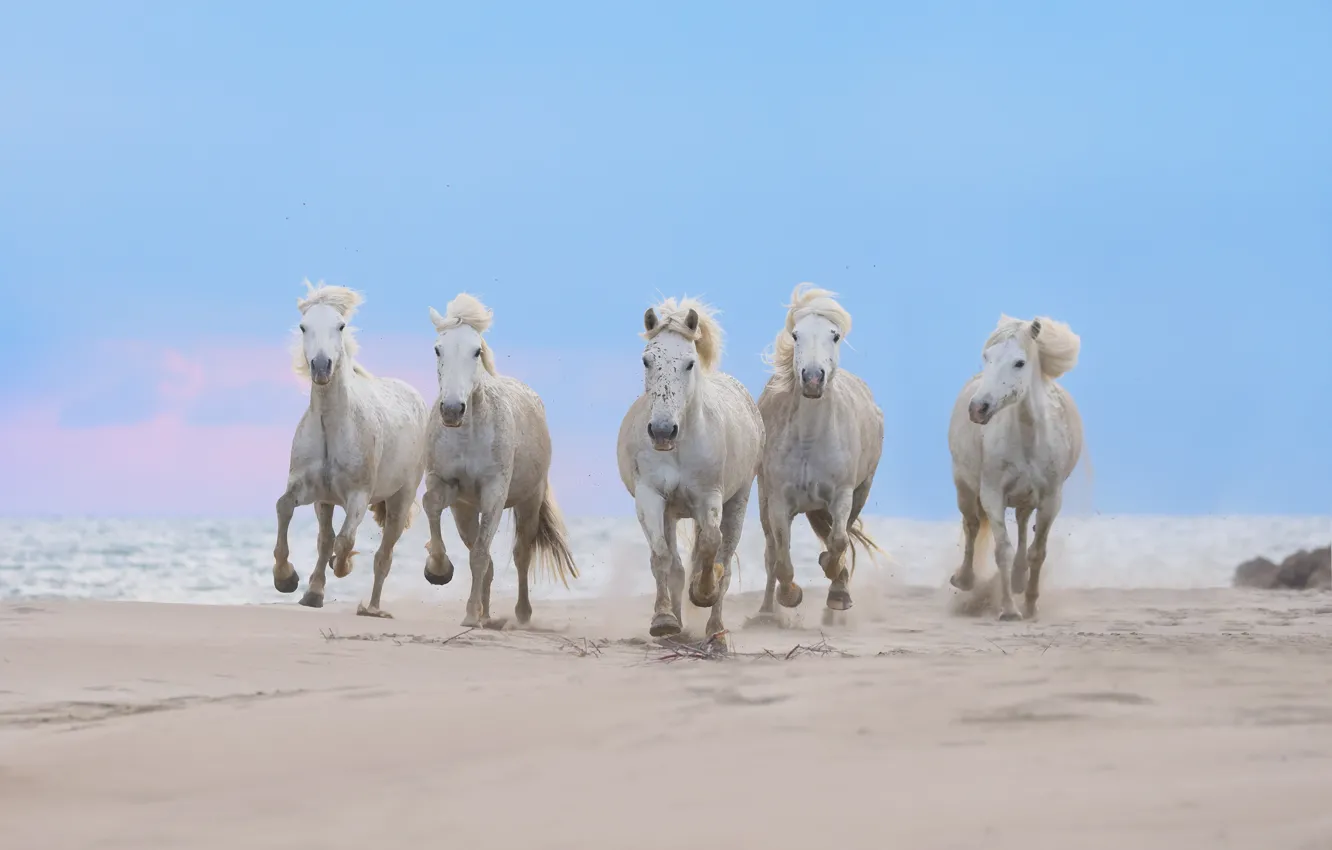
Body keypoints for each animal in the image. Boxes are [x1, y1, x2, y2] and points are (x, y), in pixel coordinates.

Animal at [272, 280, 429, 618]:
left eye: (340, 325)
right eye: (304, 327)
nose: (321, 367)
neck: (332, 428)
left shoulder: (358, 496)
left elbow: (345, 542)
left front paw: (342, 566)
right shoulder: (310, 490)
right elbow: (285, 508)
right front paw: (286, 579)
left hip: (400, 499)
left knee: (384, 555)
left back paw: (372, 607)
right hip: (326, 502)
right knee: (325, 539)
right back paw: (314, 592)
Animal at [420, 293, 579, 628]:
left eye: (476, 350)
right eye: (438, 348)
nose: (452, 410)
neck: (468, 434)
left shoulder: (494, 491)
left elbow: (482, 554)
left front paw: (469, 616)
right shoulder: (446, 484)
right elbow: (432, 507)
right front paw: (438, 570)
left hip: (529, 501)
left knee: (521, 555)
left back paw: (520, 614)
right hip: (466, 510)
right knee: (487, 559)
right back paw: (486, 613)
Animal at [616, 297, 765, 639]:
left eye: (689, 363)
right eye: (647, 360)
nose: (661, 431)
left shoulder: (709, 497)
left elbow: (711, 544)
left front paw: (703, 593)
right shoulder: (650, 496)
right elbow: (662, 556)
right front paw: (663, 620)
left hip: (738, 500)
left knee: (724, 559)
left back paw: (716, 632)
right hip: (671, 512)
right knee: (677, 565)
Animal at [752, 284, 884, 626]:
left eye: (834, 335)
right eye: (796, 335)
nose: (813, 378)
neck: (810, 441)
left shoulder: (842, 495)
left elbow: (838, 541)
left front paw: (837, 589)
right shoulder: (778, 501)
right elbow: (782, 555)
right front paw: (789, 595)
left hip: (861, 491)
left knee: (842, 536)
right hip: (763, 498)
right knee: (770, 551)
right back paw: (765, 612)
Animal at [947, 314, 1084, 621]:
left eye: (1019, 362)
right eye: (987, 357)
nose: (978, 408)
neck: (1028, 438)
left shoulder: (1050, 499)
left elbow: (1037, 551)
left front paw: (1031, 605)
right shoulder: (992, 495)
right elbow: (1003, 551)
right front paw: (1009, 610)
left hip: (1026, 499)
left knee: (1022, 527)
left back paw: (1020, 580)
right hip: (964, 487)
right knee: (972, 526)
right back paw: (965, 579)